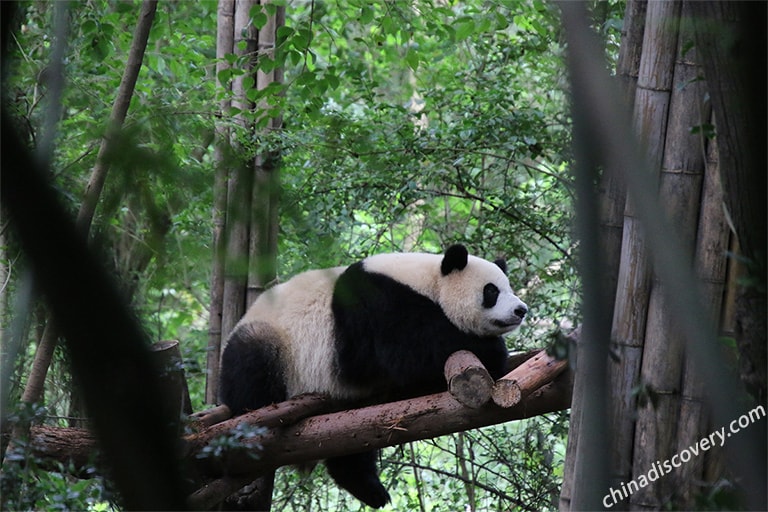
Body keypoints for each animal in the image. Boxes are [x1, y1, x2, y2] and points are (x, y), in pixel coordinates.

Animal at [220, 244, 528, 508]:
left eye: (509, 287)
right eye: (491, 291)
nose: (521, 309)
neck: (428, 280)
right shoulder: (378, 303)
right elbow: (412, 349)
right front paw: (493, 351)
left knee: (350, 440)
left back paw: (370, 489)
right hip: (275, 346)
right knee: (251, 369)